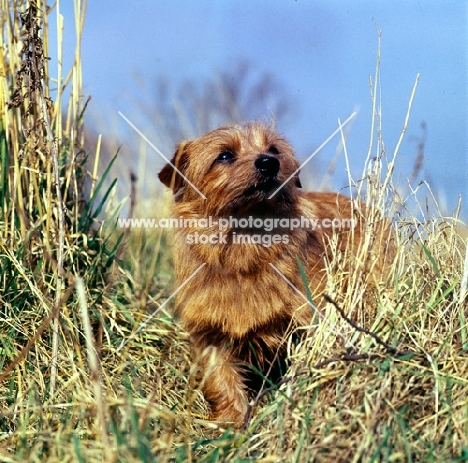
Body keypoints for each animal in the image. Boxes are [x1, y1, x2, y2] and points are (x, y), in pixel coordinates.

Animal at [159, 122, 394, 428]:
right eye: (224, 156)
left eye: (273, 149)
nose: (269, 162)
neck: (245, 249)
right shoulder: (211, 335)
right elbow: (221, 380)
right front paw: (231, 423)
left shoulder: (307, 322)